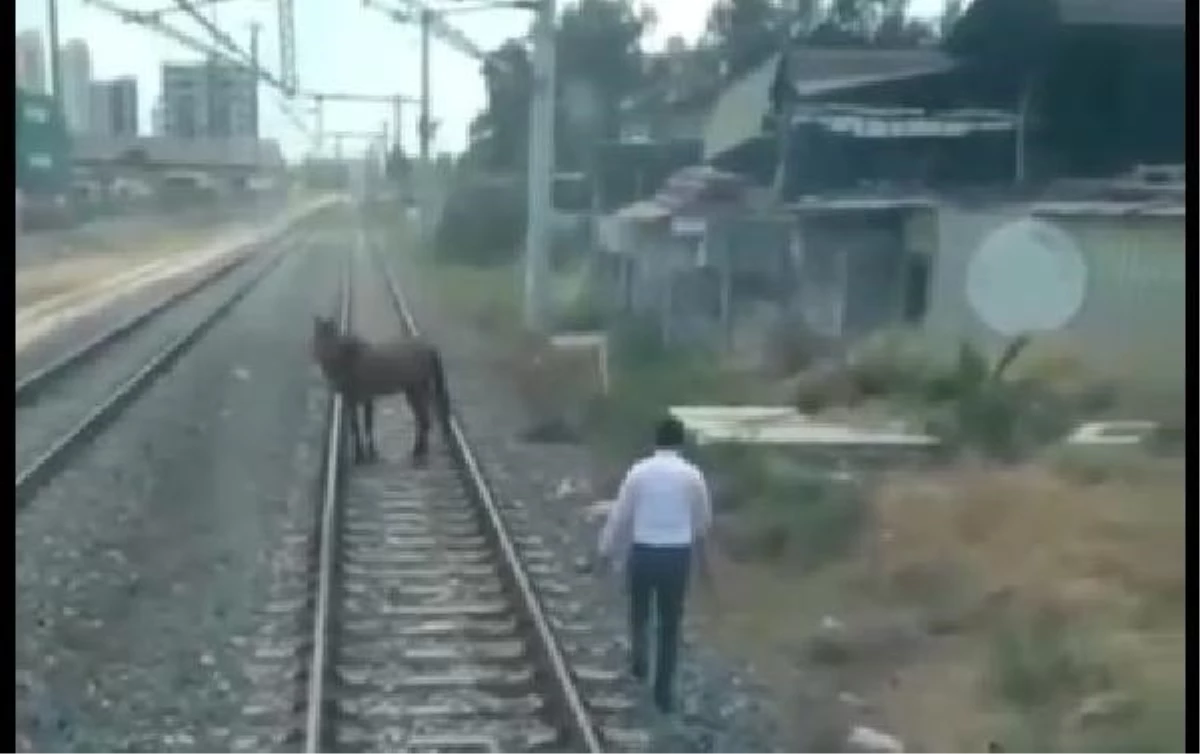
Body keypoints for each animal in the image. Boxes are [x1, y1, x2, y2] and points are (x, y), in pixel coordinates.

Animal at [312, 314, 451, 465]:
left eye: (332, 337)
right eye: (318, 337)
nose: (323, 354)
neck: (348, 359)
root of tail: (430, 348)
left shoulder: (366, 398)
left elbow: (367, 425)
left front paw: (366, 453)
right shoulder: (351, 401)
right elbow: (357, 426)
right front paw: (362, 453)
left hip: (418, 390)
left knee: (425, 420)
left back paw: (419, 451)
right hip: (412, 391)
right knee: (421, 419)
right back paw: (418, 448)